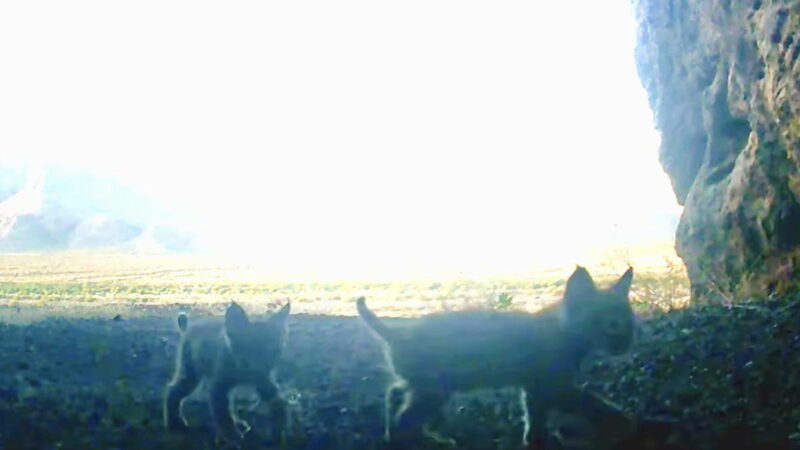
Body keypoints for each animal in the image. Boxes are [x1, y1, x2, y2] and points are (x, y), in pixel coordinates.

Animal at [163, 302, 290, 442]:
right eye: (250, 349)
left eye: (275, 351)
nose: (264, 366)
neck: (242, 370)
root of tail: (190, 327)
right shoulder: (218, 387)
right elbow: (223, 415)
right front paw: (232, 436)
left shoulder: (265, 381)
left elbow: (279, 401)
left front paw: (280, 428)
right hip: (190, 372)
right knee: (172, 390)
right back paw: (173, 424)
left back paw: (239, 424)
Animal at [360, 268, 636, 446]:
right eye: (612, 325)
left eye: (629, 320)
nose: (627, 342)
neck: (564, 330)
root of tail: (399, 332)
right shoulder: (555, 385)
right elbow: (590, 401)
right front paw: (622, 422)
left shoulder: (535, 386)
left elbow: (535, 414)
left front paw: (534, 440)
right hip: (433, 390)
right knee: (406, 416)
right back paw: (410, 439)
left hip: (424, 386)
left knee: (394, 393)